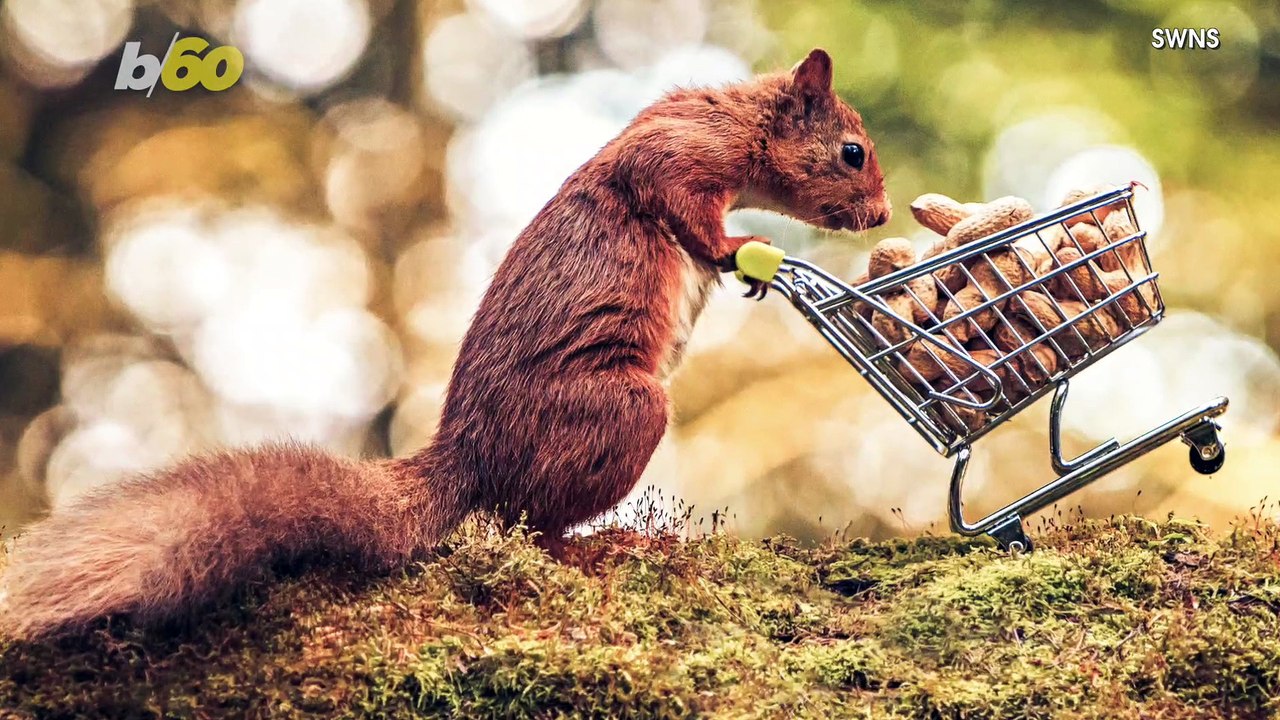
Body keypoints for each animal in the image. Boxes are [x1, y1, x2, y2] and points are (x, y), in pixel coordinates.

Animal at [0, 48, 888, 639]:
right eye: (852, 152)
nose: (881, 215)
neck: (737, 118)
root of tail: (468, 454)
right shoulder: (677, 148)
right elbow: (676, 201)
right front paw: (742, 251)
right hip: (622, 410)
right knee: (531, 524)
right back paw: (603, 548)